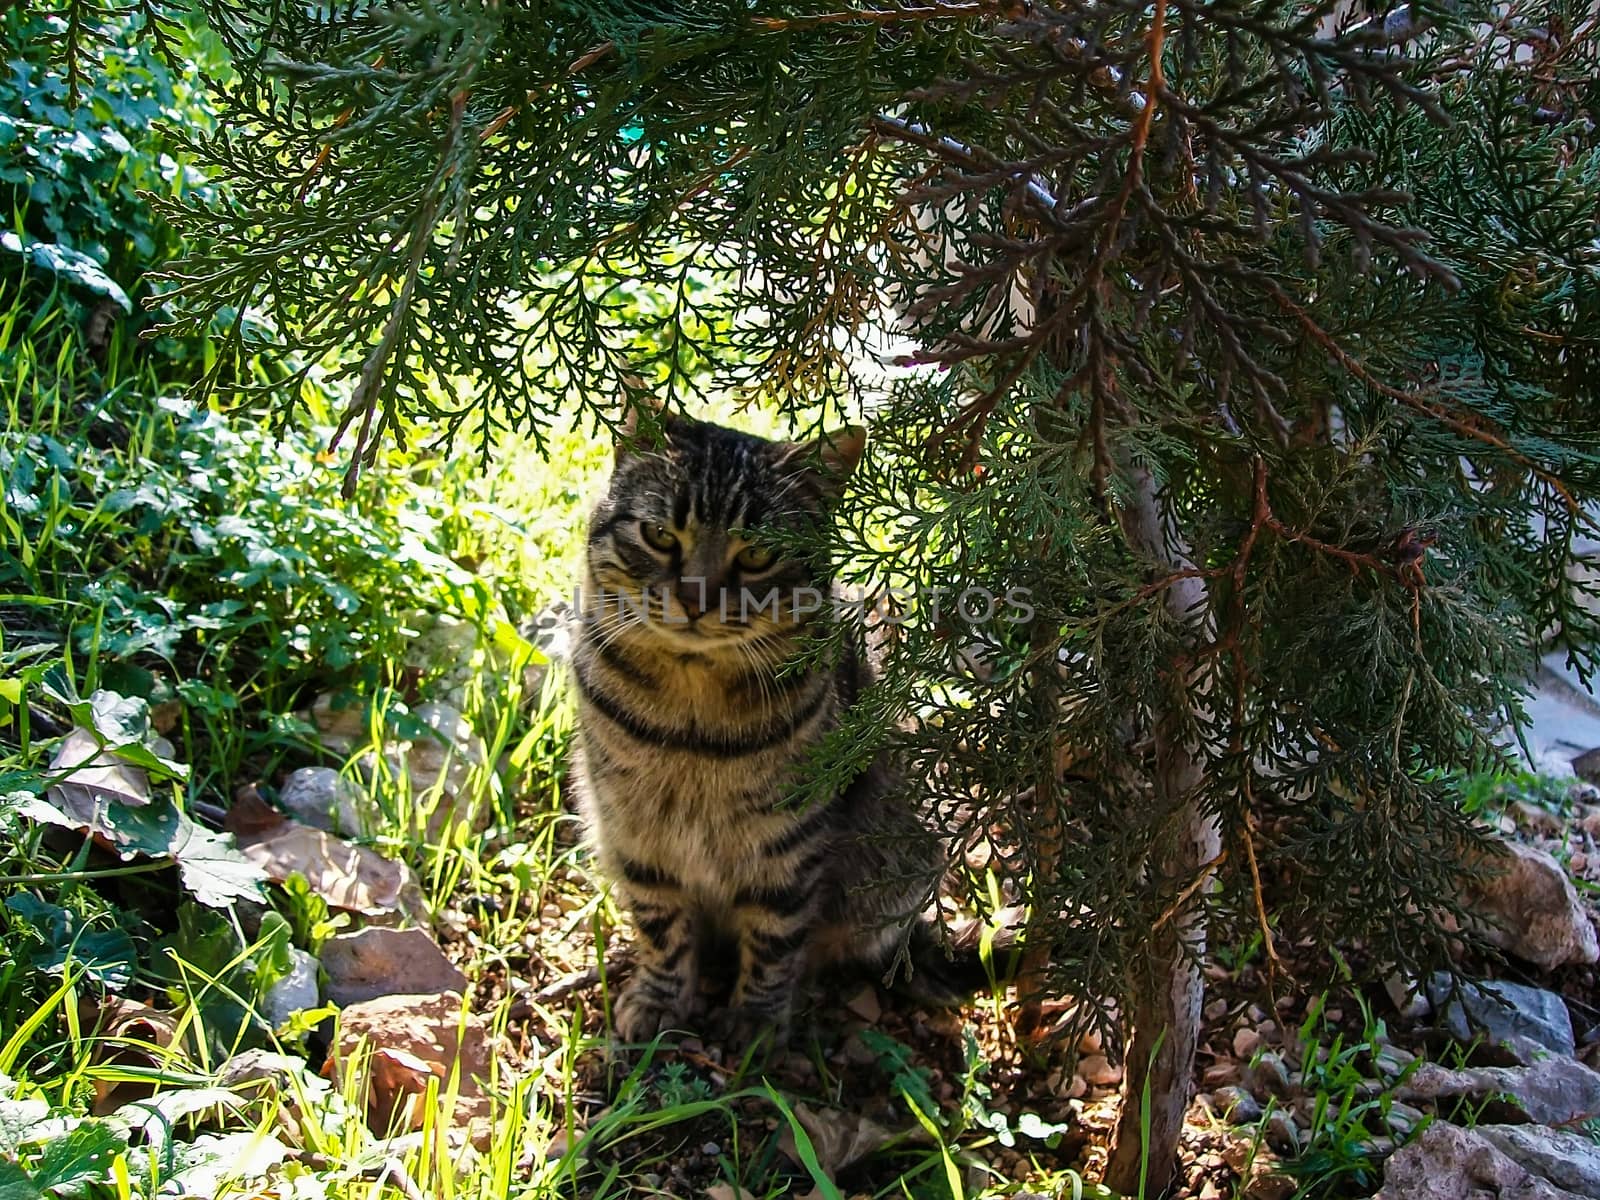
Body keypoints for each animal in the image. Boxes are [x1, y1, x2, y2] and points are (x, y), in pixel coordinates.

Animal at [572, 406, 953, 1043]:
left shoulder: (789, 841)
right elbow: (660, 926)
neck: (691, 720)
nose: (695, 600)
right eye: (660, 536)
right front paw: (658, 997)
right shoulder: (635, 832)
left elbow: (777, 935)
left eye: (755, 556)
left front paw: (755, 1021)